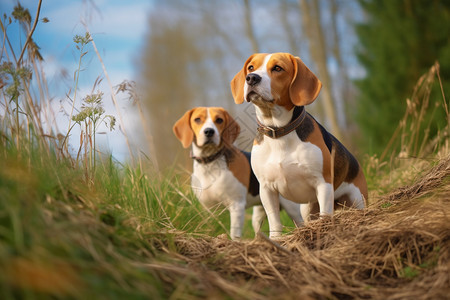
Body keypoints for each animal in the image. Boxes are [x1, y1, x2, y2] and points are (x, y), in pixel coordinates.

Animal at [172, 106, 302, 240]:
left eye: (219, 120)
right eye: (197, 119)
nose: (209, 131)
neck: (210, 164)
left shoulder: (236, 205)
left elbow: (234, 234)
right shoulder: (209, 209)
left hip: (292, 207)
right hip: (261, 211)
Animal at [230, 52, 368, 238]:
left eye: (278, 68)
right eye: (251, 67)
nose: (251, 78)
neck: (279, 133)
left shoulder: (323, 184)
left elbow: (325, 214)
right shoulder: (266, 189)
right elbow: (274, 220)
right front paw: (275, 239)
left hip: (357, 199)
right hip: (307, 208)